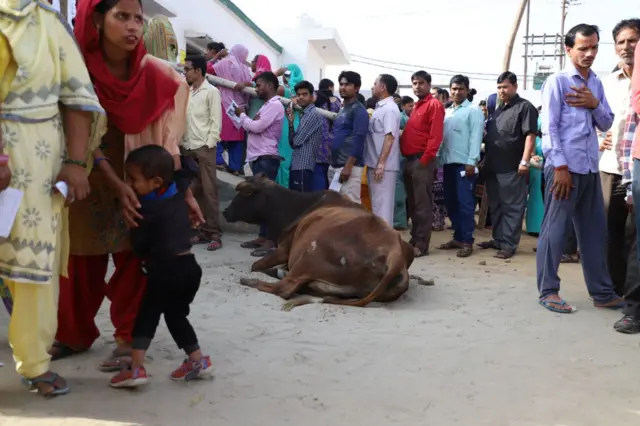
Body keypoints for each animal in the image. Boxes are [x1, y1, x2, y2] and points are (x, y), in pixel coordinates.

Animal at [222, 173, 428, 310]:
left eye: (242, 195)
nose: (225, 212)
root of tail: (396, 254)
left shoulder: (284, 248)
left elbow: (256, 264)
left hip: (311, 254)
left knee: (284, 288)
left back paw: (251, 280)